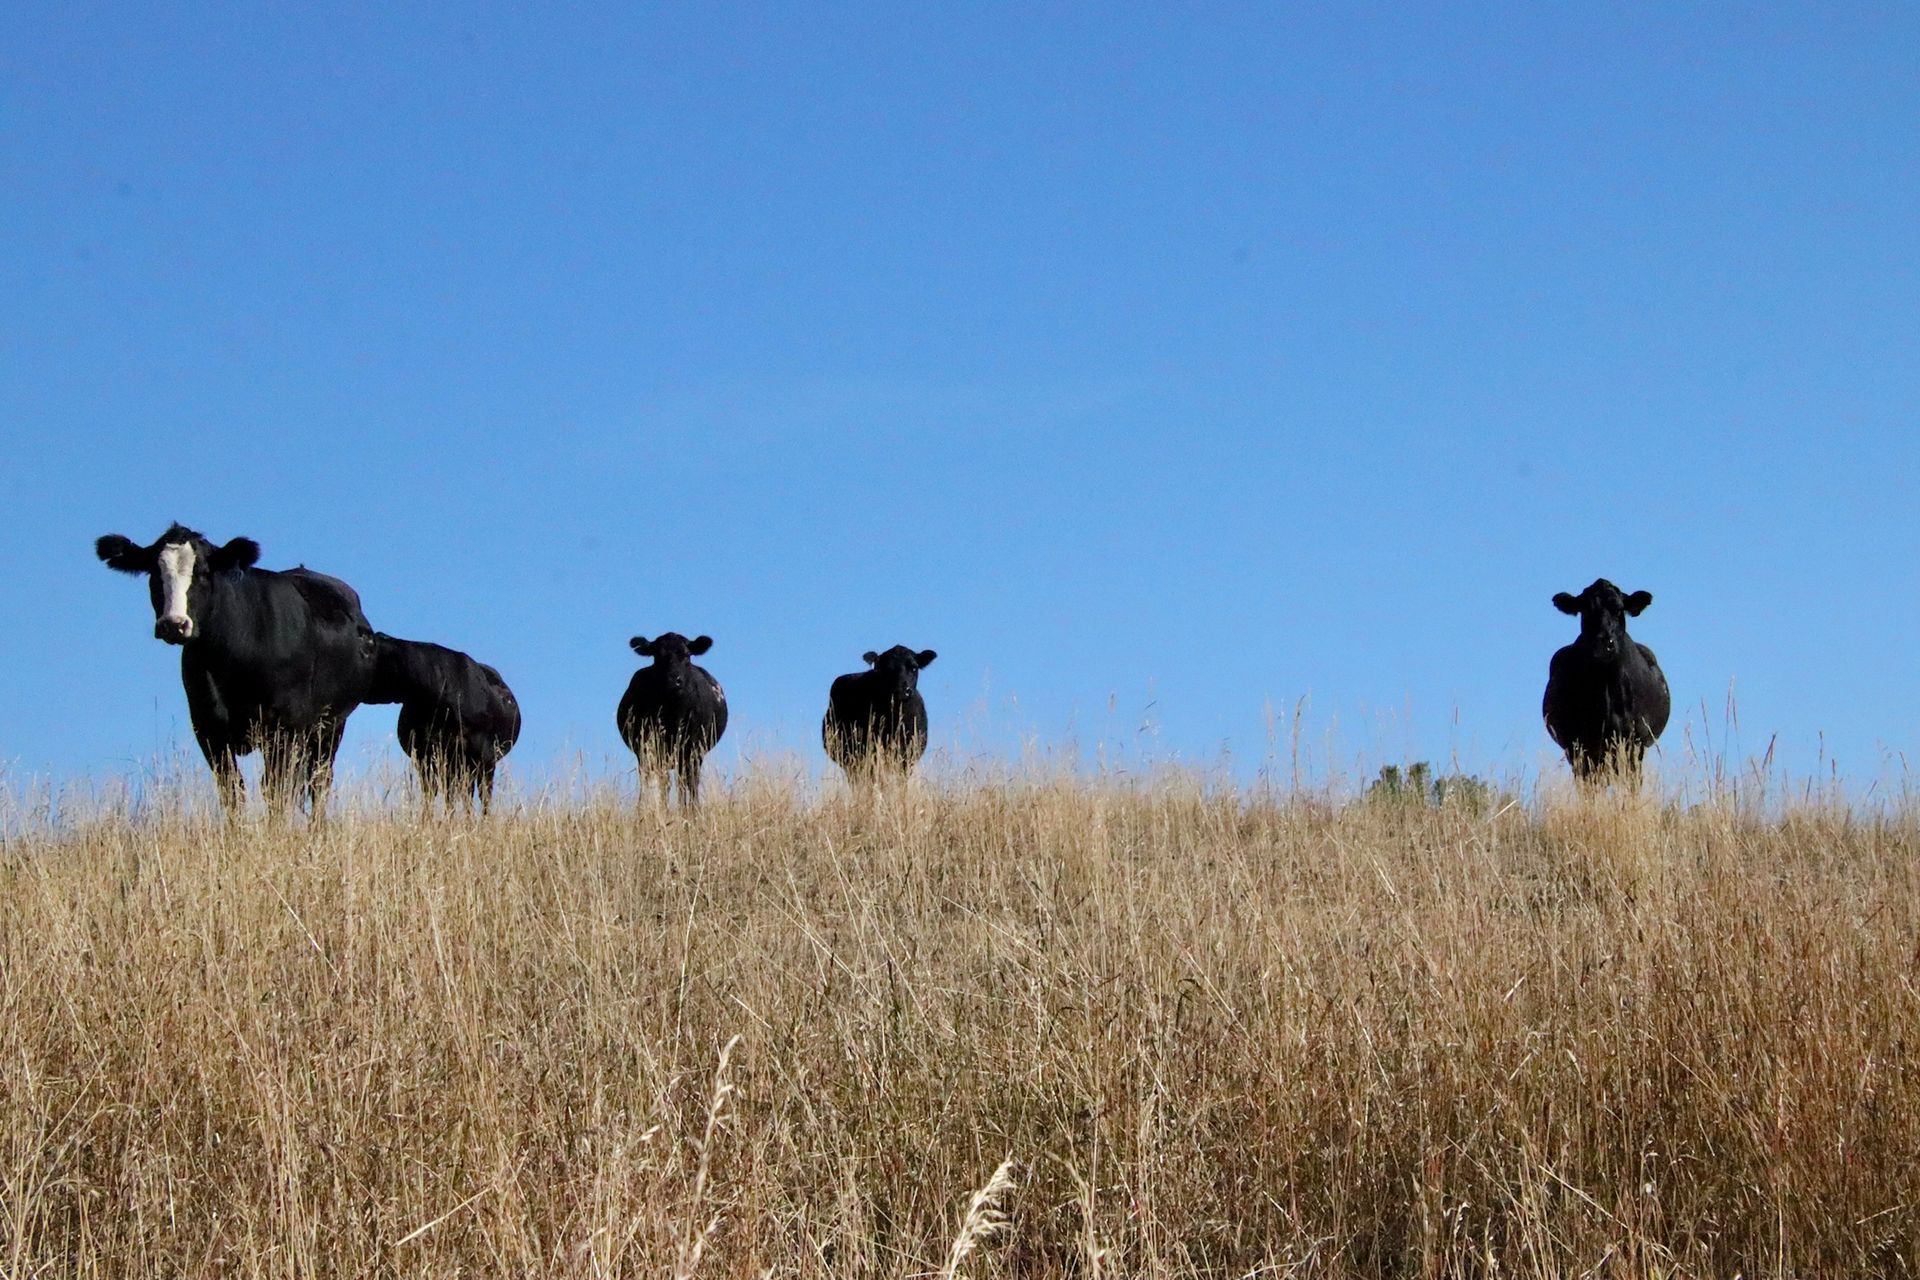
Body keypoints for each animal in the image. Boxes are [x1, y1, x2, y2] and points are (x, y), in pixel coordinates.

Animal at [96, 521, 378, 817]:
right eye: (154, 572)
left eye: (203, 572)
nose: (174, 624)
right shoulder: (208, 727)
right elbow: (232, 789)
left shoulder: (284, 726)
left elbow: (276, 790)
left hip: (330, 726)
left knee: (319, 781)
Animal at [618, 633, 729, 809]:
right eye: (657, 656)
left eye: (686, 655)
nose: (673, 680)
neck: (673, 713)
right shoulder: (649, 747)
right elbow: (661, 782)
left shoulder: (693, 748)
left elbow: (688, 782)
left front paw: (691, 810)